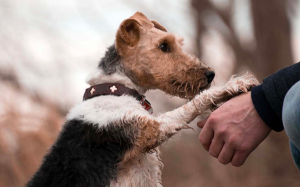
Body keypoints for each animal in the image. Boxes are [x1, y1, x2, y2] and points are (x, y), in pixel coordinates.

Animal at [25, 12, 258, 187]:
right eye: (163, 46)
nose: (210, 74)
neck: (116, 89)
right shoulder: (149, 130)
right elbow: (191, 105)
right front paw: (233, 85)